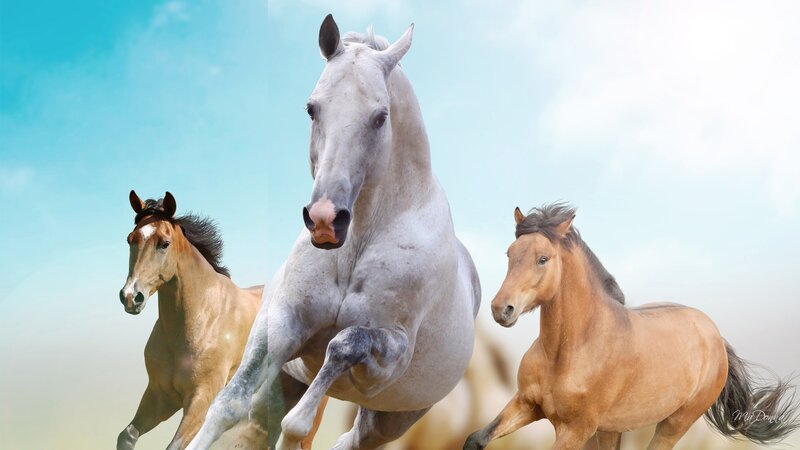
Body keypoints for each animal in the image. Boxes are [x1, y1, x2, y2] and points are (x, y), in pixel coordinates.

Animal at [117, 191, 326, 450]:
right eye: (130, 239)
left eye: (164, 243)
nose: (131, 296)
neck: (201, 319)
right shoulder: (160, 396)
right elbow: (127, 435)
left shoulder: (201, 400)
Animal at [186, 14, 480, 450]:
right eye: (312, 109)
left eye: (381, 116)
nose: (326, 220)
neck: (355, 246)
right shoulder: (280, 325)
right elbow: (228, 405)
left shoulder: (389, 354)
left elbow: (342, 347)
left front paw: (298, 424)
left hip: (389, 419)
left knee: (349, 439)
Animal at [465, 203, 800, 450]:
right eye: (510, 254)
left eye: (543, 259)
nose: (501, 309)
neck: (567, 351)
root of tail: (716, 337)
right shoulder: (527, 404)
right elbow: (475, 439)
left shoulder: (575, 429)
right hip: (612, 428)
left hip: (674, 423)